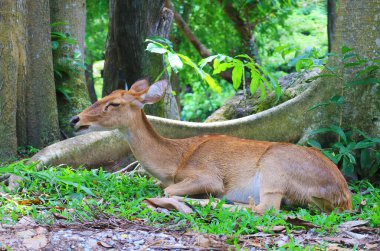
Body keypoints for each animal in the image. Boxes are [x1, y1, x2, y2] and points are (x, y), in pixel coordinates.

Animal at [70, 79, 352, 213]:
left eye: (114, 103)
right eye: (105, 95)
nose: (76, 119)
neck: (175, 161)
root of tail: (343, 196)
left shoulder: (208, 175)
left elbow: (169, 190)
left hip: (276, 166)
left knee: (267, 209)